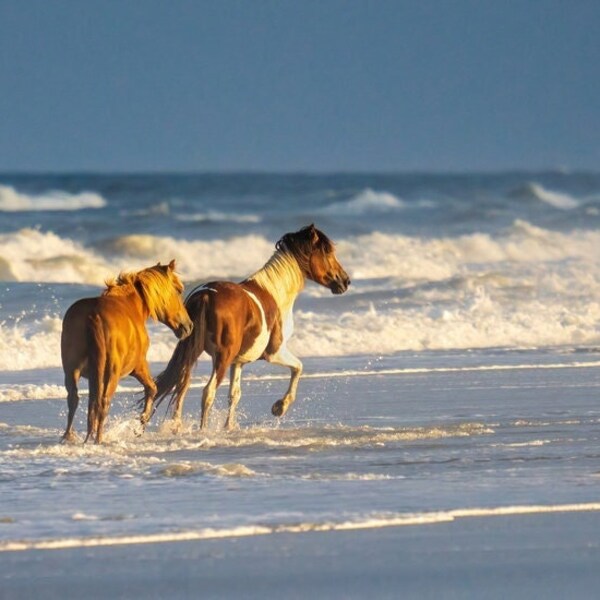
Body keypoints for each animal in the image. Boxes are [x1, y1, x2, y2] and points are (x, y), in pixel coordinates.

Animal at [61, 260, 193, 442]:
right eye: (179, 290)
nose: (188, 326)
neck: (131, 304)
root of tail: (93, 316)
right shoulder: (139, 367)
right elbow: (152, 388)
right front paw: (141, 423)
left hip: (73, 370)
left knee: (75, 398)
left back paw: (69, 436)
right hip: (111, 374)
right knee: (103, 402)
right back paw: (98, 439)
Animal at [149, 226, 352, 432]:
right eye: (328, 252)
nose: (345, 281)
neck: (276, 293)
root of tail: (205, 295)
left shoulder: (238, 362)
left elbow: (234, 394)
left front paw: (229, 427)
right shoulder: (274, 352)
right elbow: (298, 367)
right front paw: (280, 407)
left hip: (193, 352)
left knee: (182, 387)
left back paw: (177, 427)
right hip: (221, 358)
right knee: (208, 392)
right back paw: (202, 429)